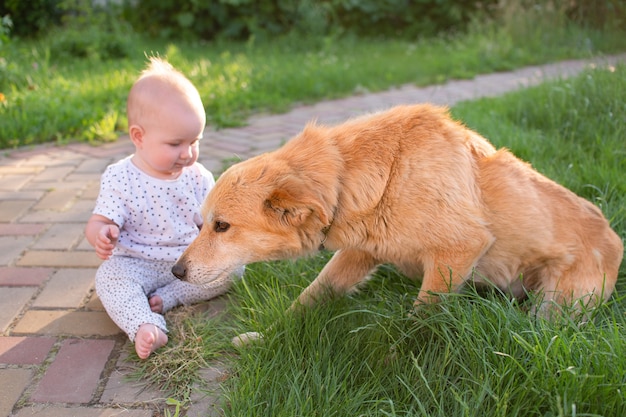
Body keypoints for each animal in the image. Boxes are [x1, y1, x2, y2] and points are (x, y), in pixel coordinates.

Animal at [172, 103, 624, 338]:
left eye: (222, 226)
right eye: (202, 223)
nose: (176, 272)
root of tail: (614, 237)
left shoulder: (457, 251)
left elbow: (416, 324)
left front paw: (396, 355)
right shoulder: (359, 254)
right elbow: (309, 296)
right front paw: (267, 338)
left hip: (554, 308)